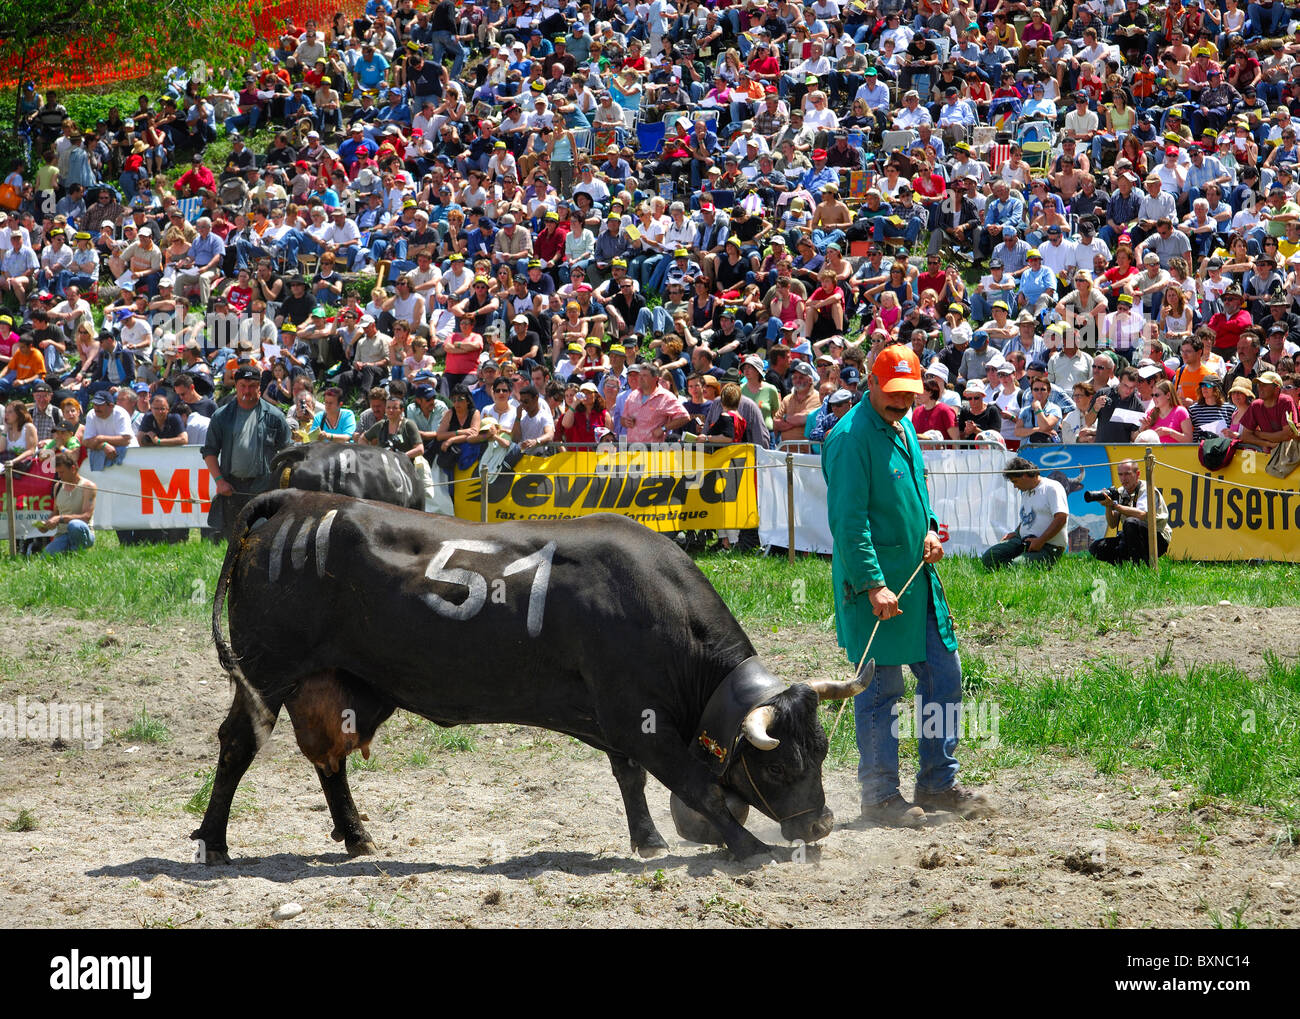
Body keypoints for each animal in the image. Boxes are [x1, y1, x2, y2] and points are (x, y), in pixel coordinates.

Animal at [192, 488, 868, 863]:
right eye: (778, 767)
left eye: (823, 749)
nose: (822, 824)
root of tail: (294, 502)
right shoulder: (639, 717)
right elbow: (694, 785)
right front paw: (750, 849)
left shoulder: (612, 716)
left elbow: (629, 777)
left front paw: (648, 837)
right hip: (267, 673)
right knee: (238, 744)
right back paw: (214, 842)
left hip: (337, 684)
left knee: (328, 757)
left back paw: (356, 835)